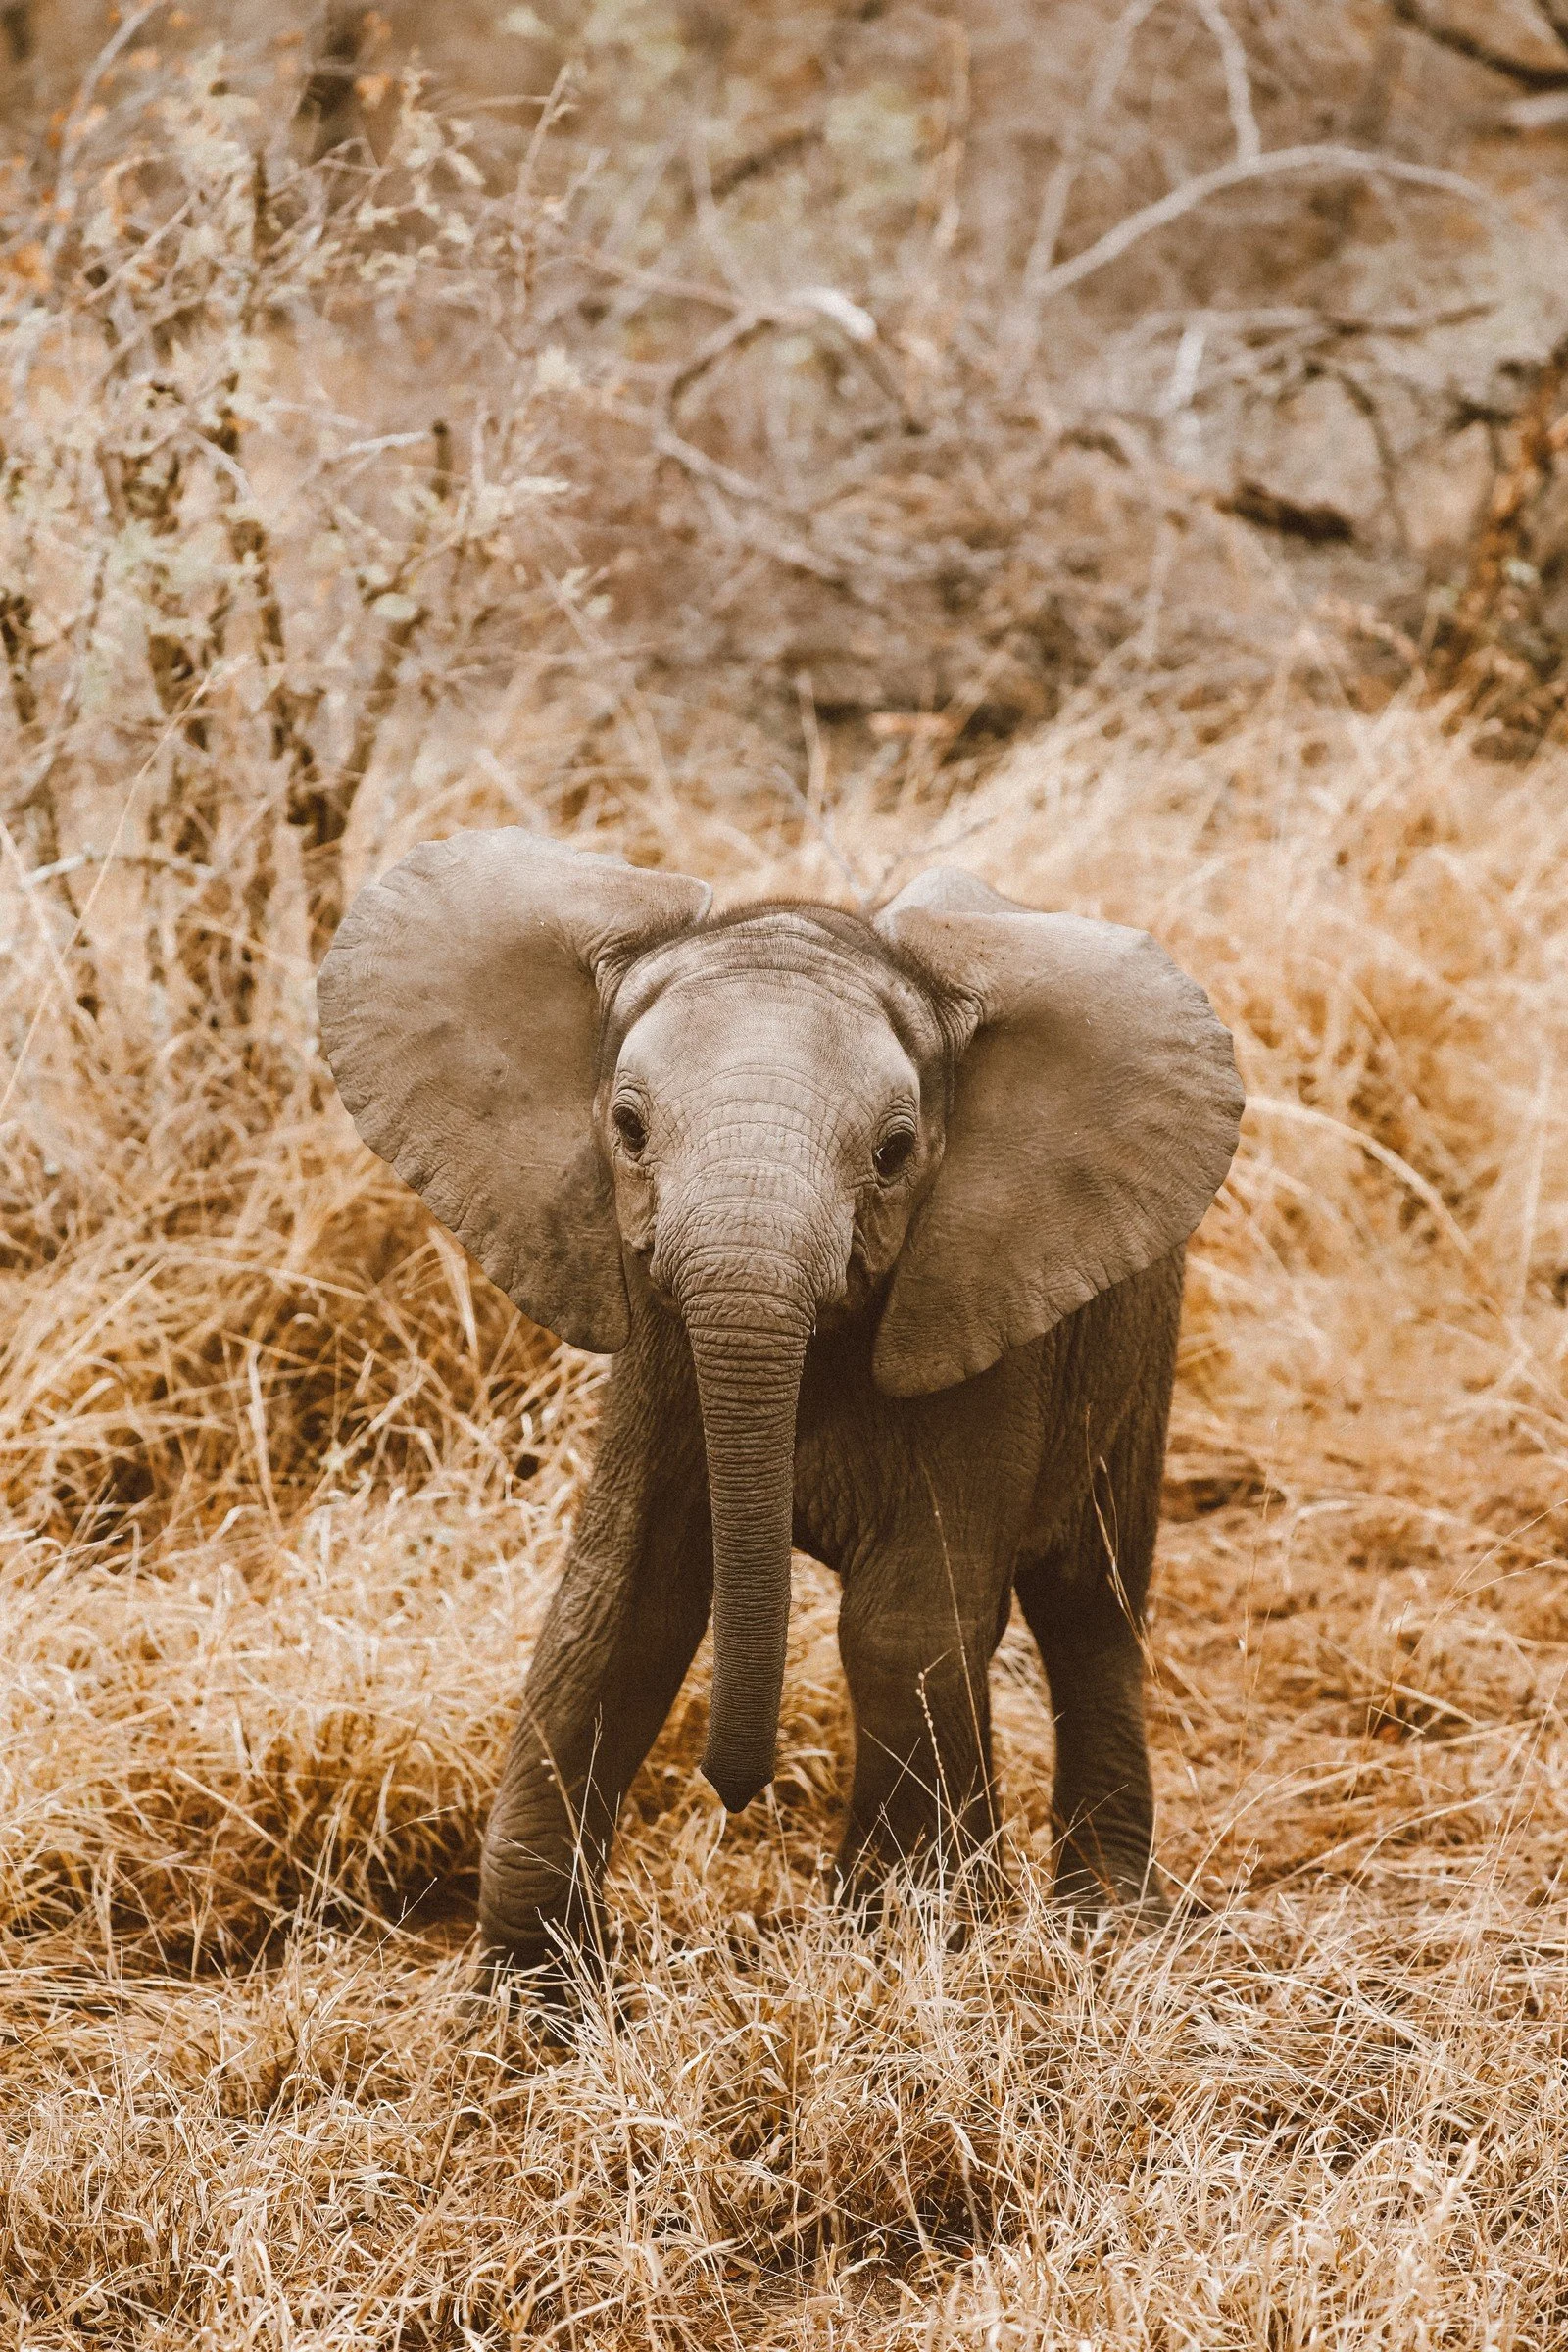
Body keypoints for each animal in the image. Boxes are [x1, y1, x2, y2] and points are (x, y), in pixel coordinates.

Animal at [316, 832, 1243, 1976]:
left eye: (894, 1152)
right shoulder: (661, 1342)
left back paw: (1108, 1921)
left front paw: (900, 1937)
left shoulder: (982, 1305)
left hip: (1138, 1338)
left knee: (1092, 1607)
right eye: (627, 1127)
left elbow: (903, 1622)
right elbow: (621, 1604)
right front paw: (538, 1995)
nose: (733, 1792)